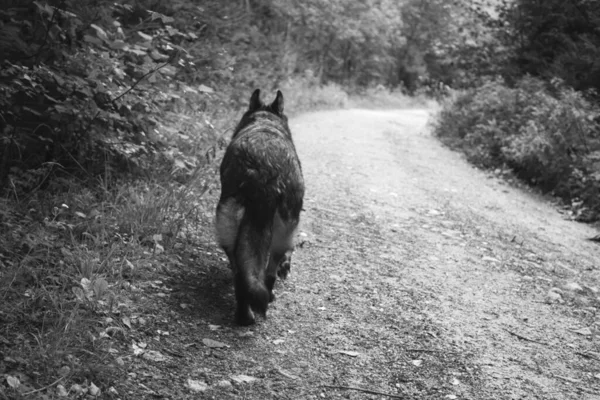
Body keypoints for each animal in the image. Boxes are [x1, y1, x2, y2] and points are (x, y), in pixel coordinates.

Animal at [216, 88, 304, 324]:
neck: (265, 120)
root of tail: (264, 171)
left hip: (227, 225)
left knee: (241, 275)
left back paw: (244, 315)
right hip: (284, 230)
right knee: (267, 273)